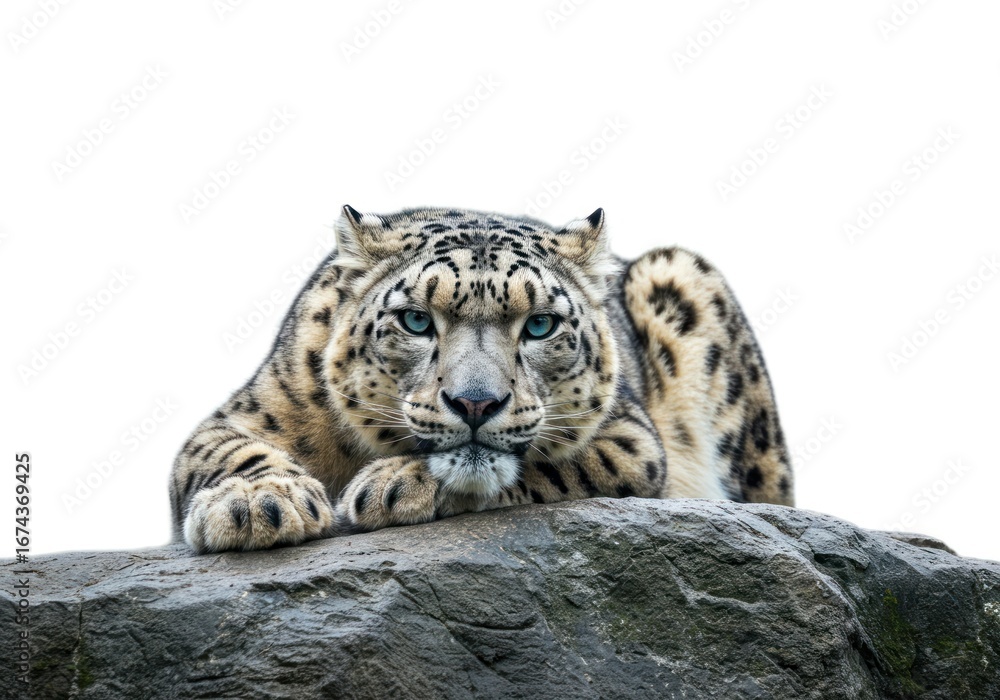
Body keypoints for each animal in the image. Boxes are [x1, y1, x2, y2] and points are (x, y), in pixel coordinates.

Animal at [170, 205, 794, 553]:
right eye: (416, 320)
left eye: (540, 324)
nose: (475, 403)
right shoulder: (250, 411)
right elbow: (226, 451)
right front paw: (256, 506)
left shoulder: (630, 440)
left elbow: (553, 464)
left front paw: (394, 486)